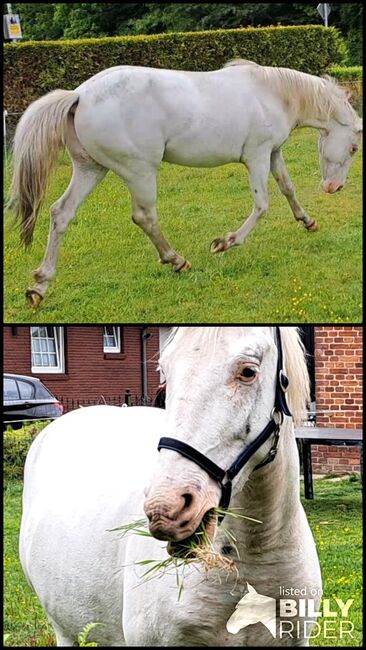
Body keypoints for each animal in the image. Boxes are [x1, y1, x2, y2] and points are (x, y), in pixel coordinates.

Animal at [7, 59, 360, 306]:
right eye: (355, 148)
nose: (334, 188)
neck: (271, 93)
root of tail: (79, 95)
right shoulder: (257, 156)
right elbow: (262, 205)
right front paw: (225, 242)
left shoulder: (272, 153)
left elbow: (288, 188)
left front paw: (308, 221)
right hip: (139, 171)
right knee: (144, 216)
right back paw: (176, 261)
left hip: (90, 169)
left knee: (61, 213)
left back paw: (39, 285)